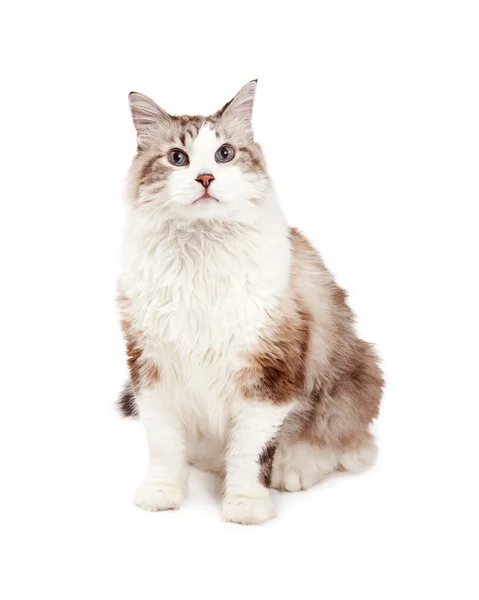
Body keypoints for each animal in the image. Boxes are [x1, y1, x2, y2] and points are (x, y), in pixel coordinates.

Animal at [118, 81, 384, 524]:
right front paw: (162, 492)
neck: (202, 257)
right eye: (177, 158)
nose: (205, 177)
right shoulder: (151, 366)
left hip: (354, 377)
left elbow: (249, 450)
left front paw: (245, 503)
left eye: (224, 153)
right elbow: (164, 443)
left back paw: (295, 467)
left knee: (350, 446)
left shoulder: (268, 374)